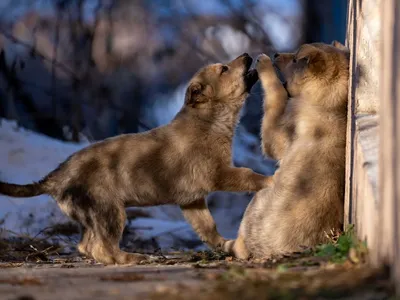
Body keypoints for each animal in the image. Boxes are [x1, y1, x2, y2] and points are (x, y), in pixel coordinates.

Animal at [0, 52, 272, 264]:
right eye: (224, 69)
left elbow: (208, 228)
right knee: (103, 247)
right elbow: (249, 175)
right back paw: (133, 258)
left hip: (91, 217)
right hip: (109, 212)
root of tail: (55, 177)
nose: (247, 55)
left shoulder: (192, 200)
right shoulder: (219, 173)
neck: (209, 121)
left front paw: (226, 245)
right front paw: (271, 180)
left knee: (87, 246)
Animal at [225, 41, 350, 260]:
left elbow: (276, 98)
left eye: (294, 59)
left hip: (259, 200)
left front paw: (263, 63)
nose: (275, 54)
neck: (330, 104)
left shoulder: (282, 131)